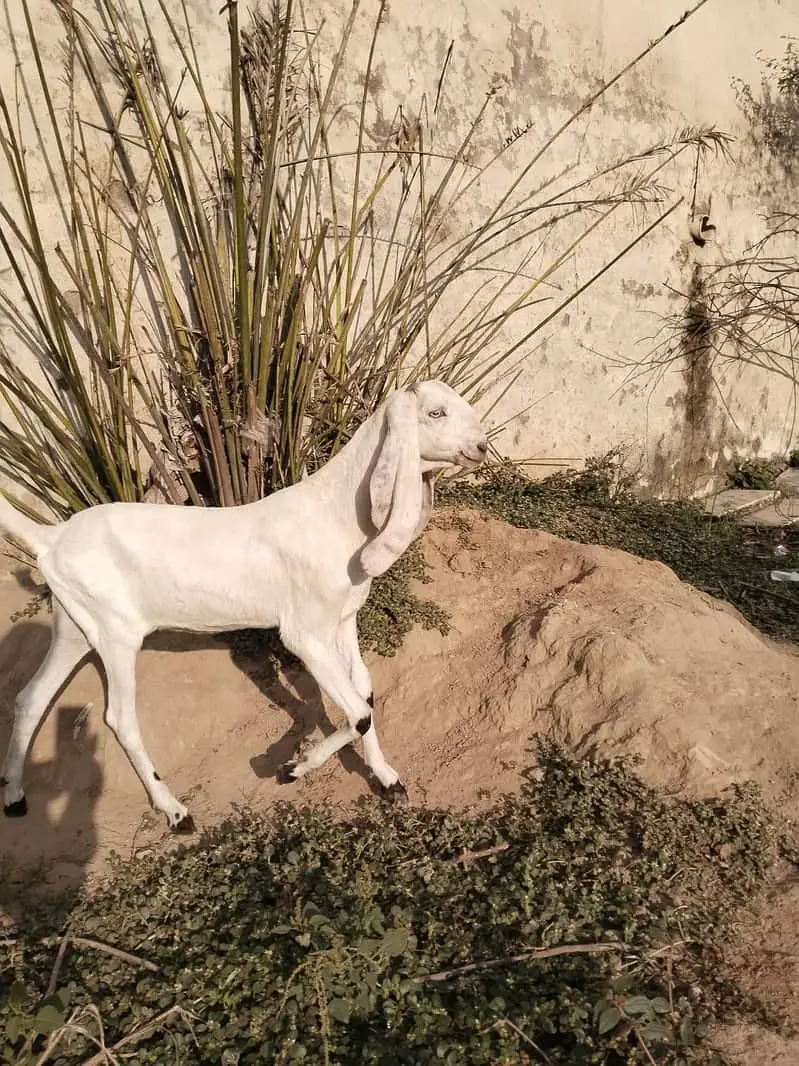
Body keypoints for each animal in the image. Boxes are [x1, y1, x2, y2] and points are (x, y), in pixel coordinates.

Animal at [0, 380, 488, 832]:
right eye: (436, 412)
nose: (482, 447)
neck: (332, 513)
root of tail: (51, 537)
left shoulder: (343, 620)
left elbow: (365, 691)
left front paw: (387, 779)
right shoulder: (304, 634)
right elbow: (359, 713)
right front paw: (291, 768)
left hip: (74, 628)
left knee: (30, 698)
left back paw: (15, 797)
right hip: (116, 634)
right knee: (119, 718)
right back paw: (175, 812)